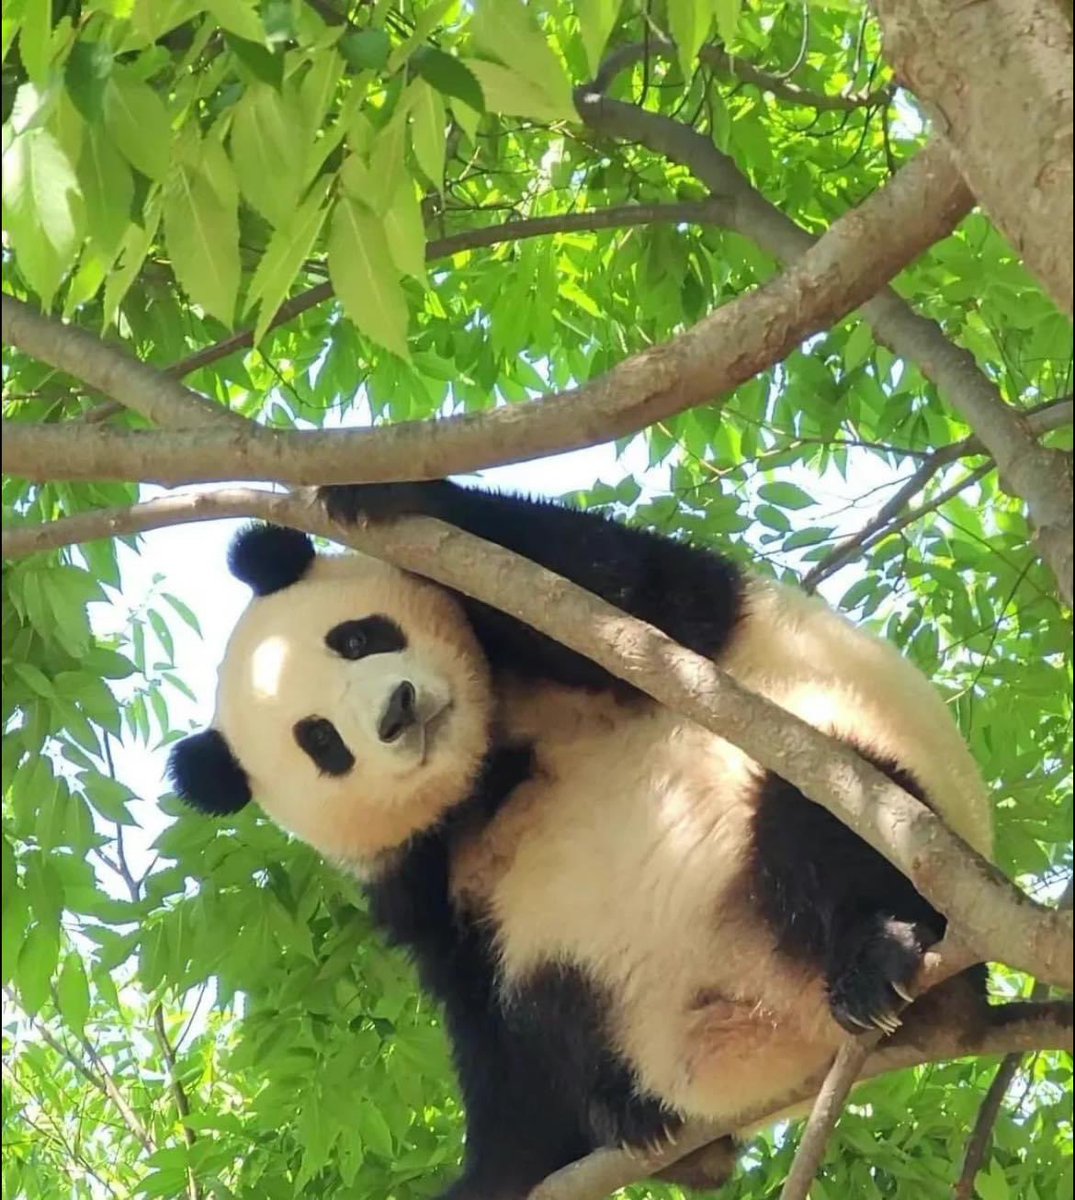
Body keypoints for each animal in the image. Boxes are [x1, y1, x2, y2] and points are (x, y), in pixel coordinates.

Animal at [168, 479, 1000, 1198]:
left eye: (356, 637)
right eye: (322, 742)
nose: (398, 711)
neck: (493, 759)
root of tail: (772, 1030)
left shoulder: (635, 632)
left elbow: (606, 586)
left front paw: (375, 493)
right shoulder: (423, 873)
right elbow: (480, 1015)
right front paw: (496, 1174)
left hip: (859, 776)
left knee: (825, 812)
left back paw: (878, 956)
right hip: (597, 982)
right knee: (540, 1003)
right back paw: (651, 1129)